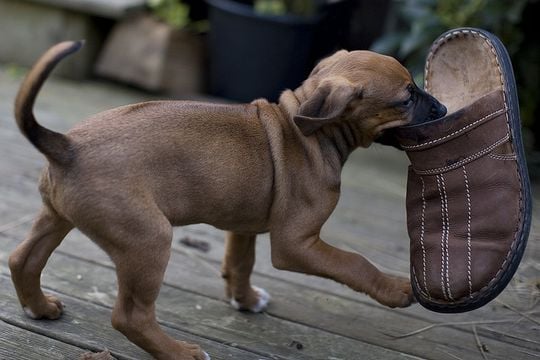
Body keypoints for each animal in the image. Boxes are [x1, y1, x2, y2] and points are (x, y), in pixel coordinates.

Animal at [8, 43, 446, 360]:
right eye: (406, 99)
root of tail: (66, 145)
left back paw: (39, 307)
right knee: (130, 316)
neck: (310, 132)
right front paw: (395, 289)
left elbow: (240, 262)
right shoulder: (296, 244)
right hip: (148, 240)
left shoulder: (244, 225)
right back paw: (181, 353)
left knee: (21, 259)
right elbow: (354, 262)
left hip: (57, 216)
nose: (443, 108)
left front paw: (245, 300)